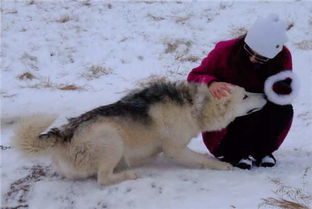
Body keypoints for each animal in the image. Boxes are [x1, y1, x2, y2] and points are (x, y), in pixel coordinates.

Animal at [12, 81, 266, 185]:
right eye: (245, 95)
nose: (264, 94)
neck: (195, 107)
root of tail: (64, 133)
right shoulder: (176, 150)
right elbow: (206, 160)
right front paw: (224, 165)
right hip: (111, 139)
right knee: (103, 179)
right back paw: (129, 174)